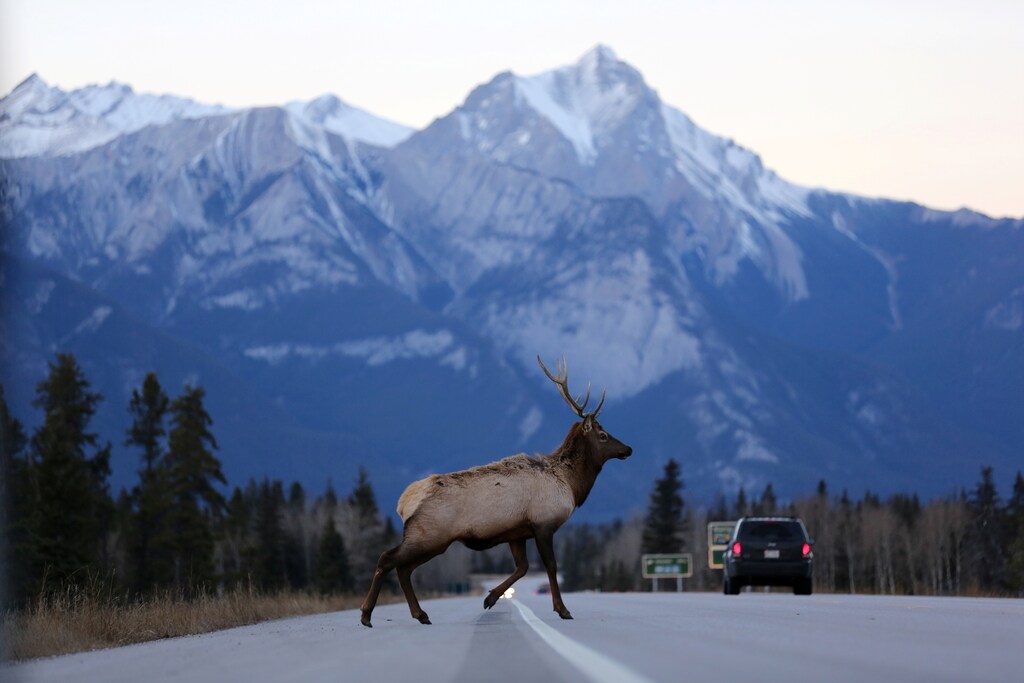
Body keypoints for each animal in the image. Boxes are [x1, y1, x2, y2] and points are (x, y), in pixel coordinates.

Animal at [359, 355, 632, 627]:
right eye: (603, 435)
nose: (628, 448)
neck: (572, 485)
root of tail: (404, 502)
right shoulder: (543, 524)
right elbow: (551, 566)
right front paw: (563, 610)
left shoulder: (517, 532)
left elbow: (522, 567)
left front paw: (490, 598)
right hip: (429, 535)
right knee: (387, 558)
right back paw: (366, 614)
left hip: (430, 539)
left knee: (404, 568)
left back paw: (420, 614)